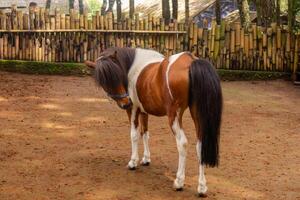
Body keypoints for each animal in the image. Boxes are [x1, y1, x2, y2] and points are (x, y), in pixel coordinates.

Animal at [84, 47, 223, 196]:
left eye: (117, 75)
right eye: (104, 81)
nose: (125, 103)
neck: (131, 67)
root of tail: (190, 61)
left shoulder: (134, 109)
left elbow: (134, 135)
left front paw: (133, 162)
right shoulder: (144, 111)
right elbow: (145, 133)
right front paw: (146, 159)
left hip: (174, 116)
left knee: (182, 143)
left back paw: (179, 182)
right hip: (197, 114)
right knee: (200, 145)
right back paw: (202, 187)